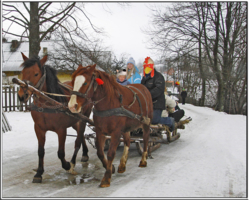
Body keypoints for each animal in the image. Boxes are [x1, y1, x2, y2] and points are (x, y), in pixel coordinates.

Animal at [17, 52, 92, 183]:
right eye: (22, 72)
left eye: (36, 73)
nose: (22, 95)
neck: (48, 102)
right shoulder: (39, 128)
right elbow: (40, 151)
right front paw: (39, 173)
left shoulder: (61, 130)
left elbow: (60, 153)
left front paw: (67, 165)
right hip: (75, 120)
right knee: (80, 133)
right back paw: (85, 153)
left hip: (84, 116)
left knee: (80, 133)